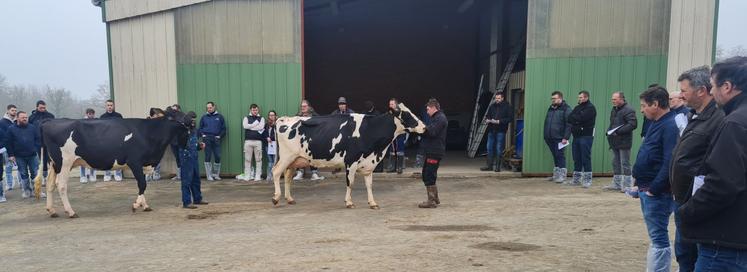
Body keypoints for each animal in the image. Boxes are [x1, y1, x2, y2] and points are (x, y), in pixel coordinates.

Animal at [33, 108, 191, 217]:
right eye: (173, 113)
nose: (192, 116)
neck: (148, 133)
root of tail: (50, 121)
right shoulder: (134, 161)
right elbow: (142, 183)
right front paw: (136, 205)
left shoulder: (145, 164)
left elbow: (144, 183)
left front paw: (145, 205)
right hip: (65, 162)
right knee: (61, 185)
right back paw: (71, 212)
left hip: (54, 163)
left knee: (50, 184)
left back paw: (52, 210)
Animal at [274, 102, 426, 208]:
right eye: (406, 115)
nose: (424, 127)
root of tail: (284, 119)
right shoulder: (351, 161)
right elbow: (350, 183)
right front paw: (349, 202)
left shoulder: (368, 163)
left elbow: (369, 184)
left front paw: (372, 203)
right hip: (286, 156)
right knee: (276, 172)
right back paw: (276, 198)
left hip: (295, 160)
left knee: (287, 177)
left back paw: (290, 199)